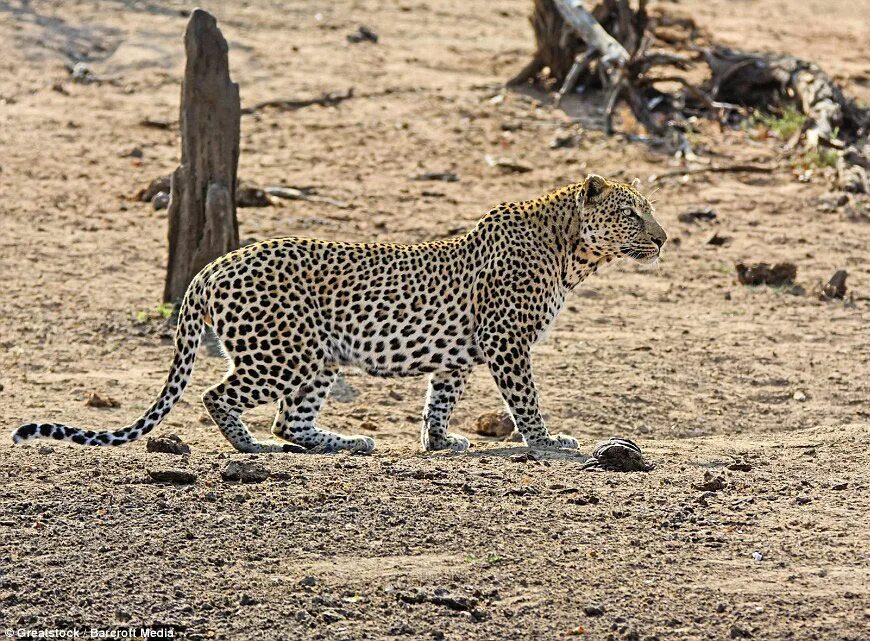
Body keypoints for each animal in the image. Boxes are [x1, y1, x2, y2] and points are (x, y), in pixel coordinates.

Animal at [11, 174, 668, 456]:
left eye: (649, 211)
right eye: (632, 215)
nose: (662, 239)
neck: (571, 251)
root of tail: (209, 269)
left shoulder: (459, 354)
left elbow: (440, 398)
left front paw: (438, 441)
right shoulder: (508, 342)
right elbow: (525, 401)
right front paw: (548, 442)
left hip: (318, 359)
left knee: (291, 421)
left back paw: (342, 440)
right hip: (284, 354)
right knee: (218, 397)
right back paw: (251, 447)